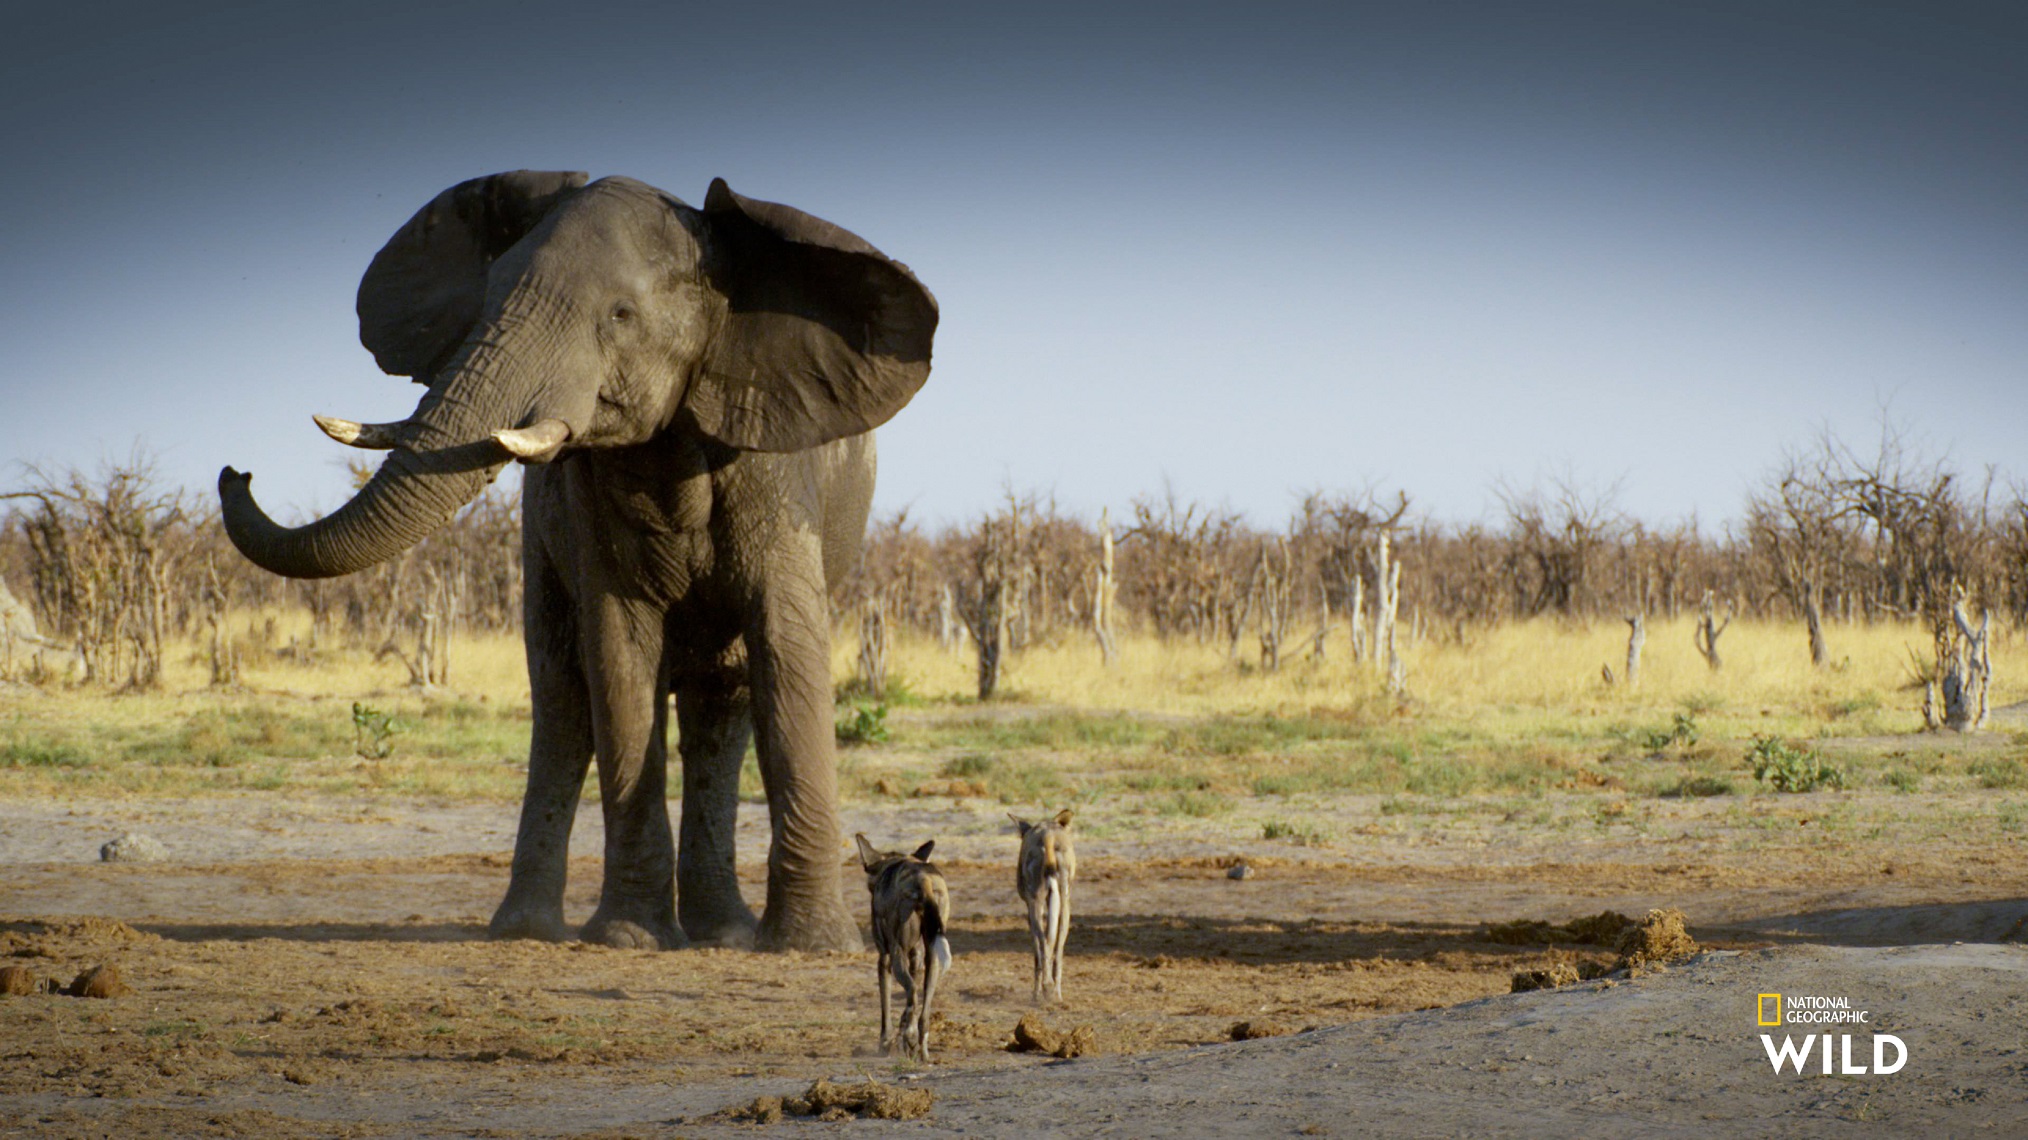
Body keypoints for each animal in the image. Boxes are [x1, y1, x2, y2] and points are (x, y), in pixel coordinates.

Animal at [218, 170, 945, 949]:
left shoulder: (778, 478)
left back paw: (723, 935)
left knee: (722, 708)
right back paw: (528, 932)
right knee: (564, 708)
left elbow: (787, 657)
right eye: (488, 298)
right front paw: (629, 938)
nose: (237, 472)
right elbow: (619, 660)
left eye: (621, 315)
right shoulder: (585, 504)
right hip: (538, 544)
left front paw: (813, 947)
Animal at [855, 823, 949, 1054]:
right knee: (924, 1012)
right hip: (933, 957)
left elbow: (885, 1007)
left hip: (896, 955)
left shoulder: (884, 957)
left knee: (913, 993)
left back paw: (908, 1035)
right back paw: (920, 1050)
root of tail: (922, 879)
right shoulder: (915, 955)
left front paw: (885, 1042)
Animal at [1009, 803, 1078, 998]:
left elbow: (1037, 952)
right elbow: (1051, 940)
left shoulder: (1030, 906)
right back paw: (1057, 994)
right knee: (1057, 949)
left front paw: (1036, 991)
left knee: (1042, 946)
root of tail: (1048, 836)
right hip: (1064, 903)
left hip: (1036, 902)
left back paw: (1044, 988)